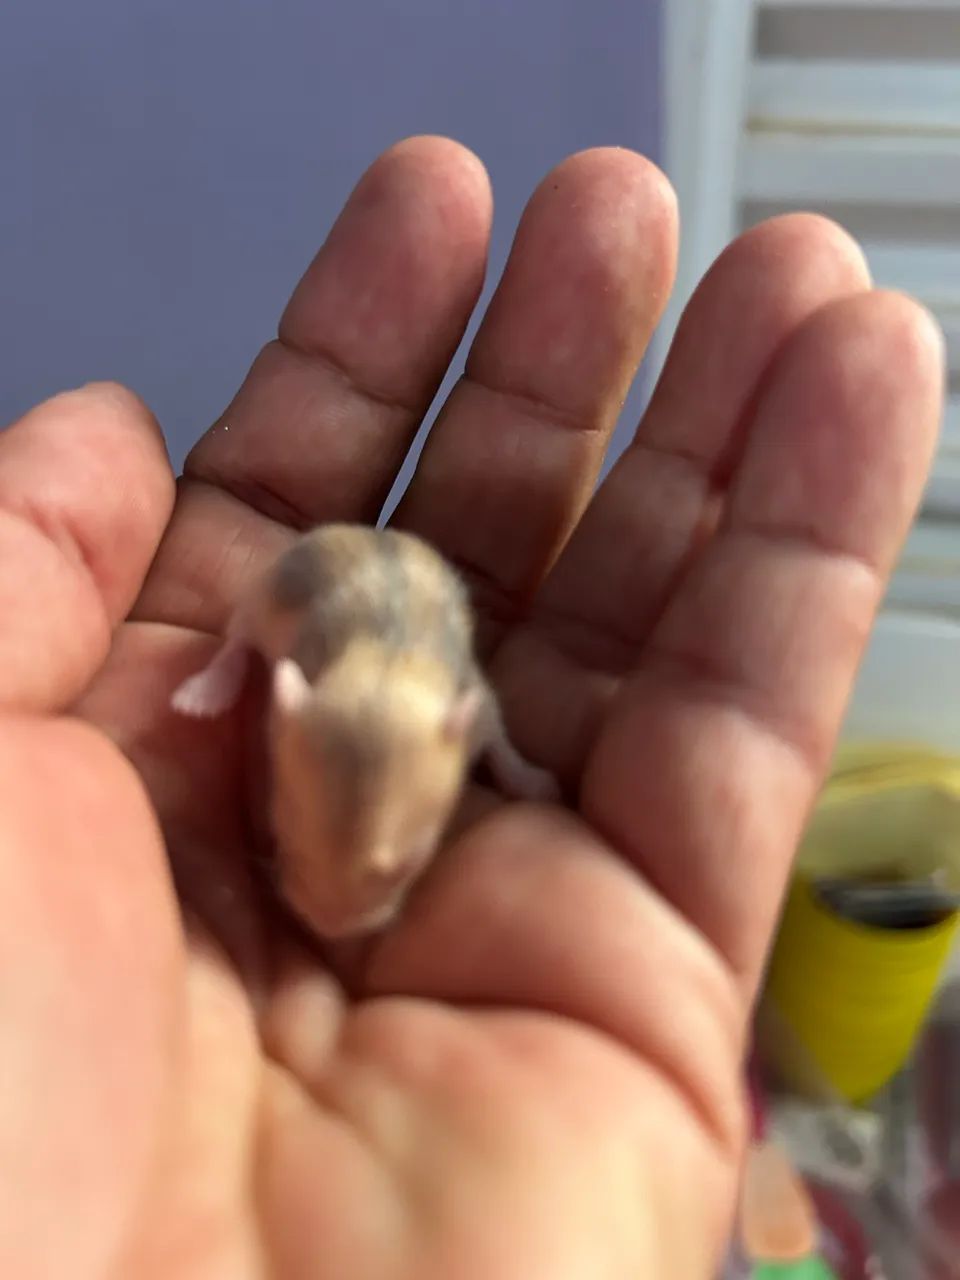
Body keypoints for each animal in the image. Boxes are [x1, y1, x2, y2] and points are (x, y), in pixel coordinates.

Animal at [171, 523, 559, 939]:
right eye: (282, 834)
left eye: (413, 861)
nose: (328, 929)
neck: (384, 667)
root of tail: (363, 531)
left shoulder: (477, 696)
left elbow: (498, 737)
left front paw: (537, 785)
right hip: (264, 594)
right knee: (238, 638)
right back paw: (203, 694)